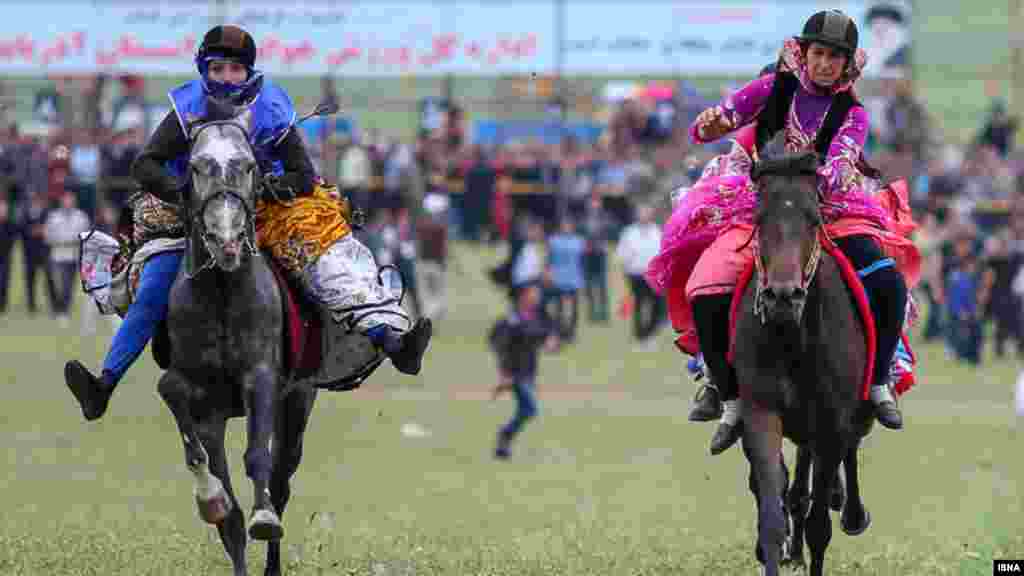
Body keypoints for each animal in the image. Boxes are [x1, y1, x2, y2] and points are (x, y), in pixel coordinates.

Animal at [155, 101, 313, 573]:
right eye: (196, 166)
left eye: (248, 166)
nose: (226, 239)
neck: (224, 289)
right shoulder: (204, 403)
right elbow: (175, 398)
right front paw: (212, 498)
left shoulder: (261, 376)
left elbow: (259, 458)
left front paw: (265, 518)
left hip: (298, 401)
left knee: (282, 477)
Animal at [737, 132, 872, 569]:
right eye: (759, 218)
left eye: (814, 218)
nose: (783, 296)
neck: (794, 341)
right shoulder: (761, 412)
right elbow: (771, 512)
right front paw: (774, 548)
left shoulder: (831, 422)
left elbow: (818, 528)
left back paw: (850, 509)